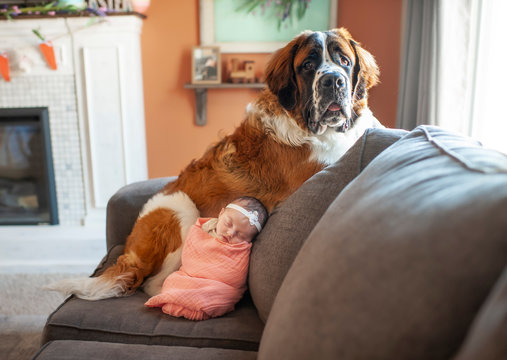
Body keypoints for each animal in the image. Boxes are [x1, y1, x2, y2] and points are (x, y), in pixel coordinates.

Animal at [51, 26, 382, 300]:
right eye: (308, 66)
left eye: (345, 61)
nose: (333, 81)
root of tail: (131, 248)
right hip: (181, 211)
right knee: (153, 283)